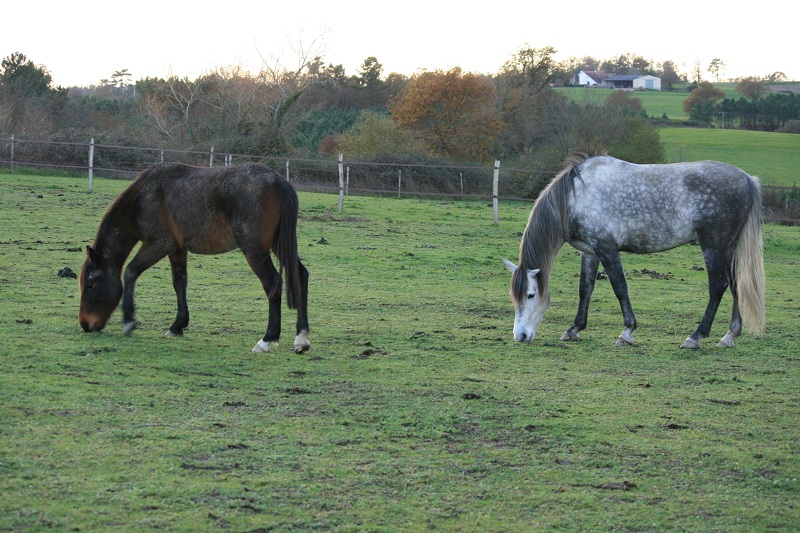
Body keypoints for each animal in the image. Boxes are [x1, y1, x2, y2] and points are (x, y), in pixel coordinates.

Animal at [78, 162, 310, 354]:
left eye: (90, 284)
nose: (85, 324)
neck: (143, 196)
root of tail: (278, 181)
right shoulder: (177, 249)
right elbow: (179, 284)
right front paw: (178, 325)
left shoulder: (158, 244)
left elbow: (130, 272)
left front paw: (128, 320)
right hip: (279, 246)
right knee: (300, 275)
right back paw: (301, 337)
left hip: (255, 251)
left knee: (273, 283)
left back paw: (267, 339)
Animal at [504, 150, 764, 350]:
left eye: (531, 294)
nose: (521, 335)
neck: (575, 197)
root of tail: (746, 179)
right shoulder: (590, 251)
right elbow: (585, 289)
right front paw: (574, 329)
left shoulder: (606, 248)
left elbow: (620, 287)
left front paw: (627, 332)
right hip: (728, 248)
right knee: (735, 285)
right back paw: (729, 336)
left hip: (713, 246)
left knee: (718, 286)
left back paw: (695, 336)